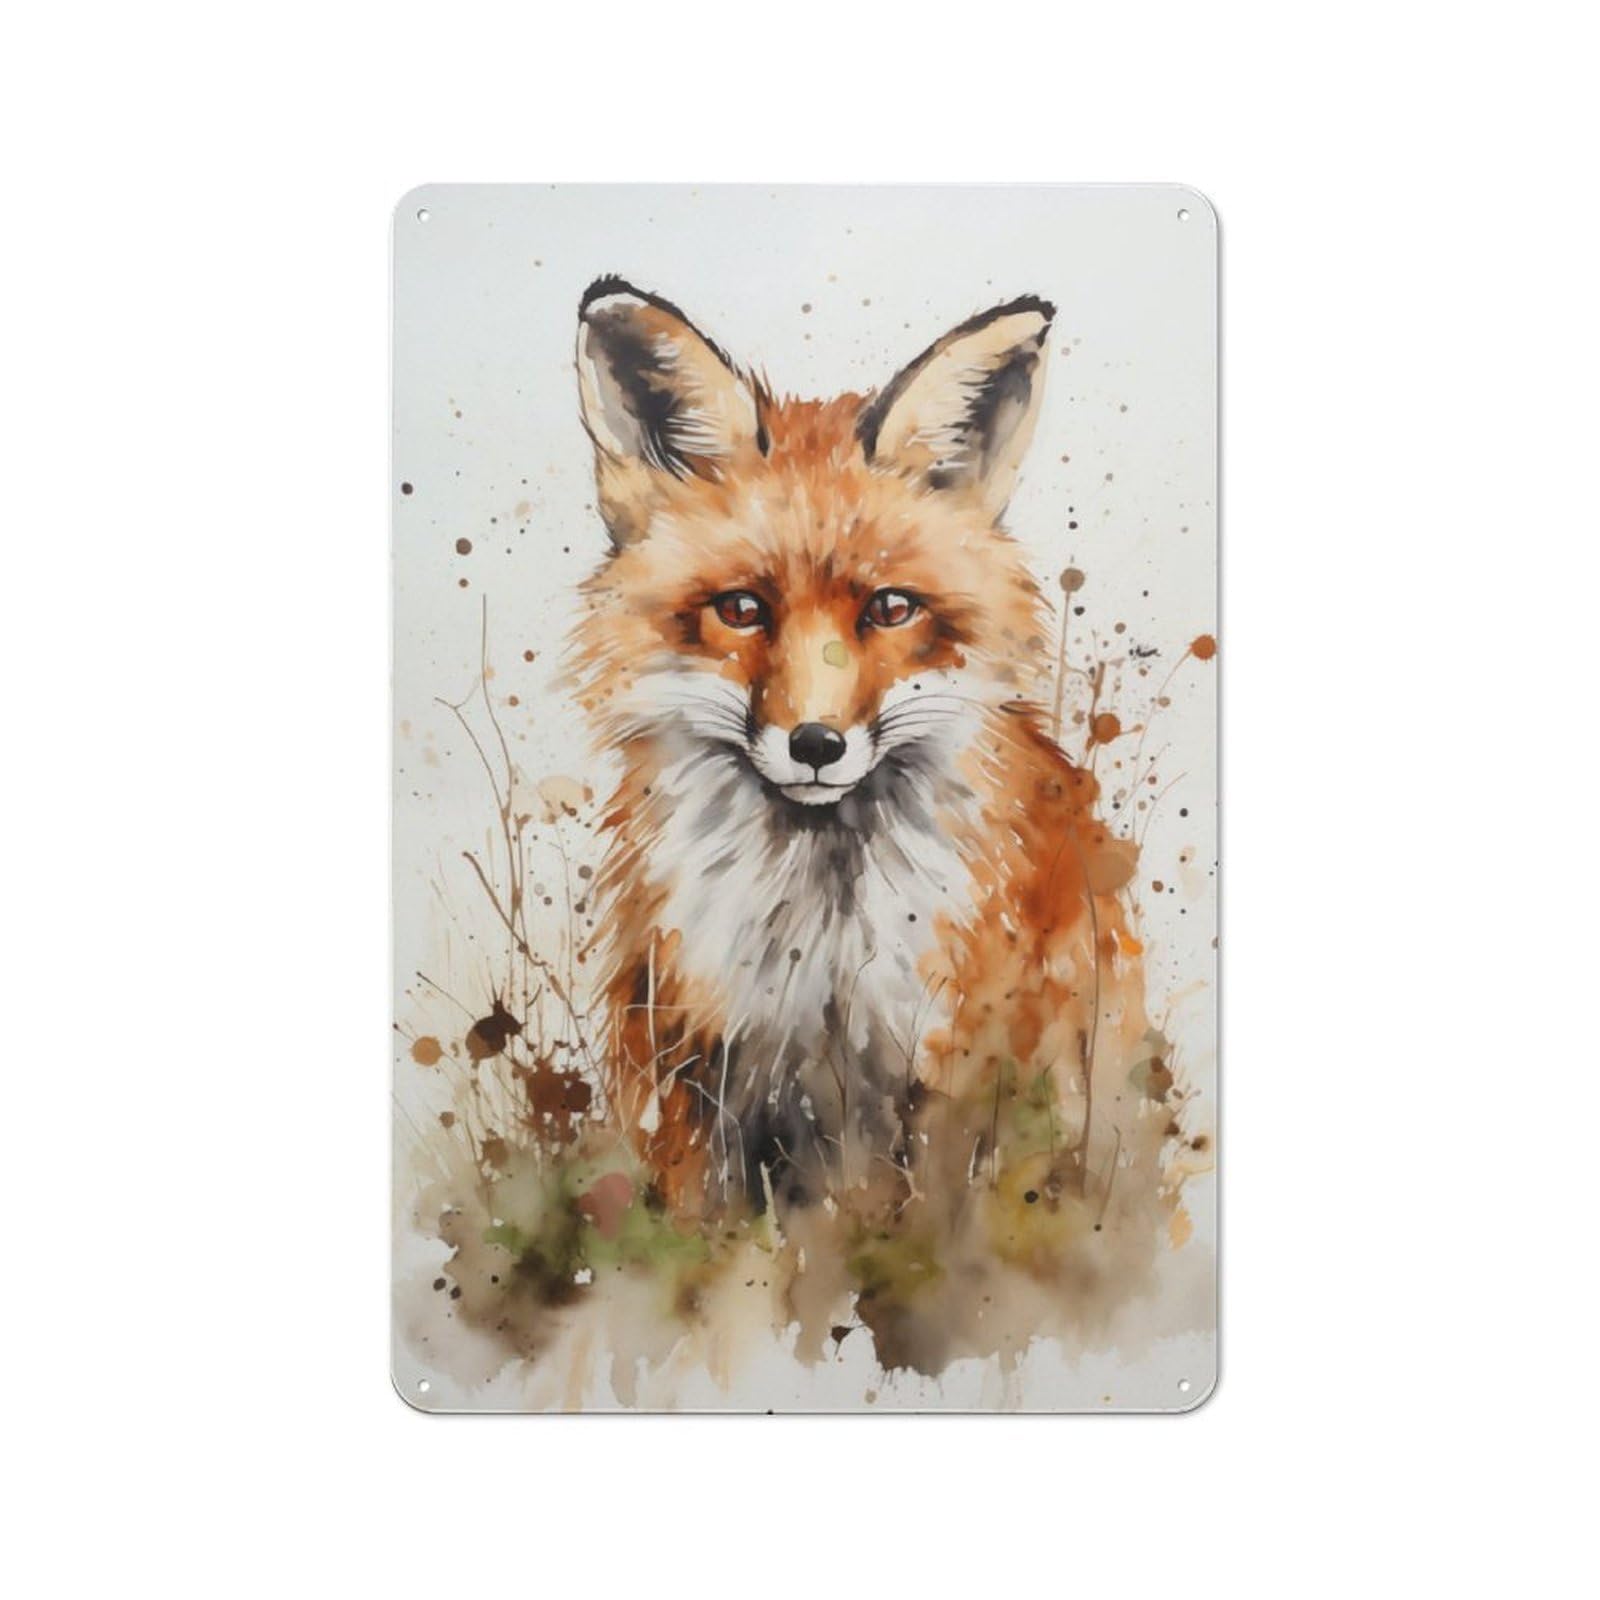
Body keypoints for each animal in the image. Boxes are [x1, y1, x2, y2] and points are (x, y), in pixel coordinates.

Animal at [568, 277, 1160, 1225]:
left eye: (890, 608)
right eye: (741, 610)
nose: (816, 743)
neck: (819, 944)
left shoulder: (943, 1074)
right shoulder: (694, 1070)